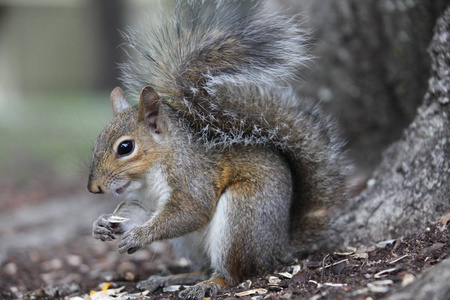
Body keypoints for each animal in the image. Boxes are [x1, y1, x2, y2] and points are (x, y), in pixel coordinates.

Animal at [87, 1, 348, 298]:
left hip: (242, 216)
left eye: (125, 147)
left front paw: (139, 236)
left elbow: (192, 211)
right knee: (204, 266)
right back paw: (175, 278)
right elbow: (138, 214)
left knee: (234, 273)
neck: (149, 176)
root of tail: (279, 246)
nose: (93, 188)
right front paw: (101, 225)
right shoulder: (145, 201)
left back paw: (211, 284)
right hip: (191, 243)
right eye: (96, 142)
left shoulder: (192, 176)